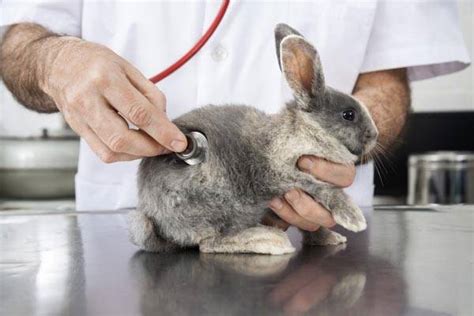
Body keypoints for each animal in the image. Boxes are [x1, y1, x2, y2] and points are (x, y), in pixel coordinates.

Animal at [128, 23, 380, 256]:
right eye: (349, 115)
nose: (374, 135)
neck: (305, 132)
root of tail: (155, 219)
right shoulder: (283, 176)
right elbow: (325, 190)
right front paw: (354, 218)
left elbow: (311, 225)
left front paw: (329, 238)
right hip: (214, 203)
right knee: (208, 244)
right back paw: (268, 240)